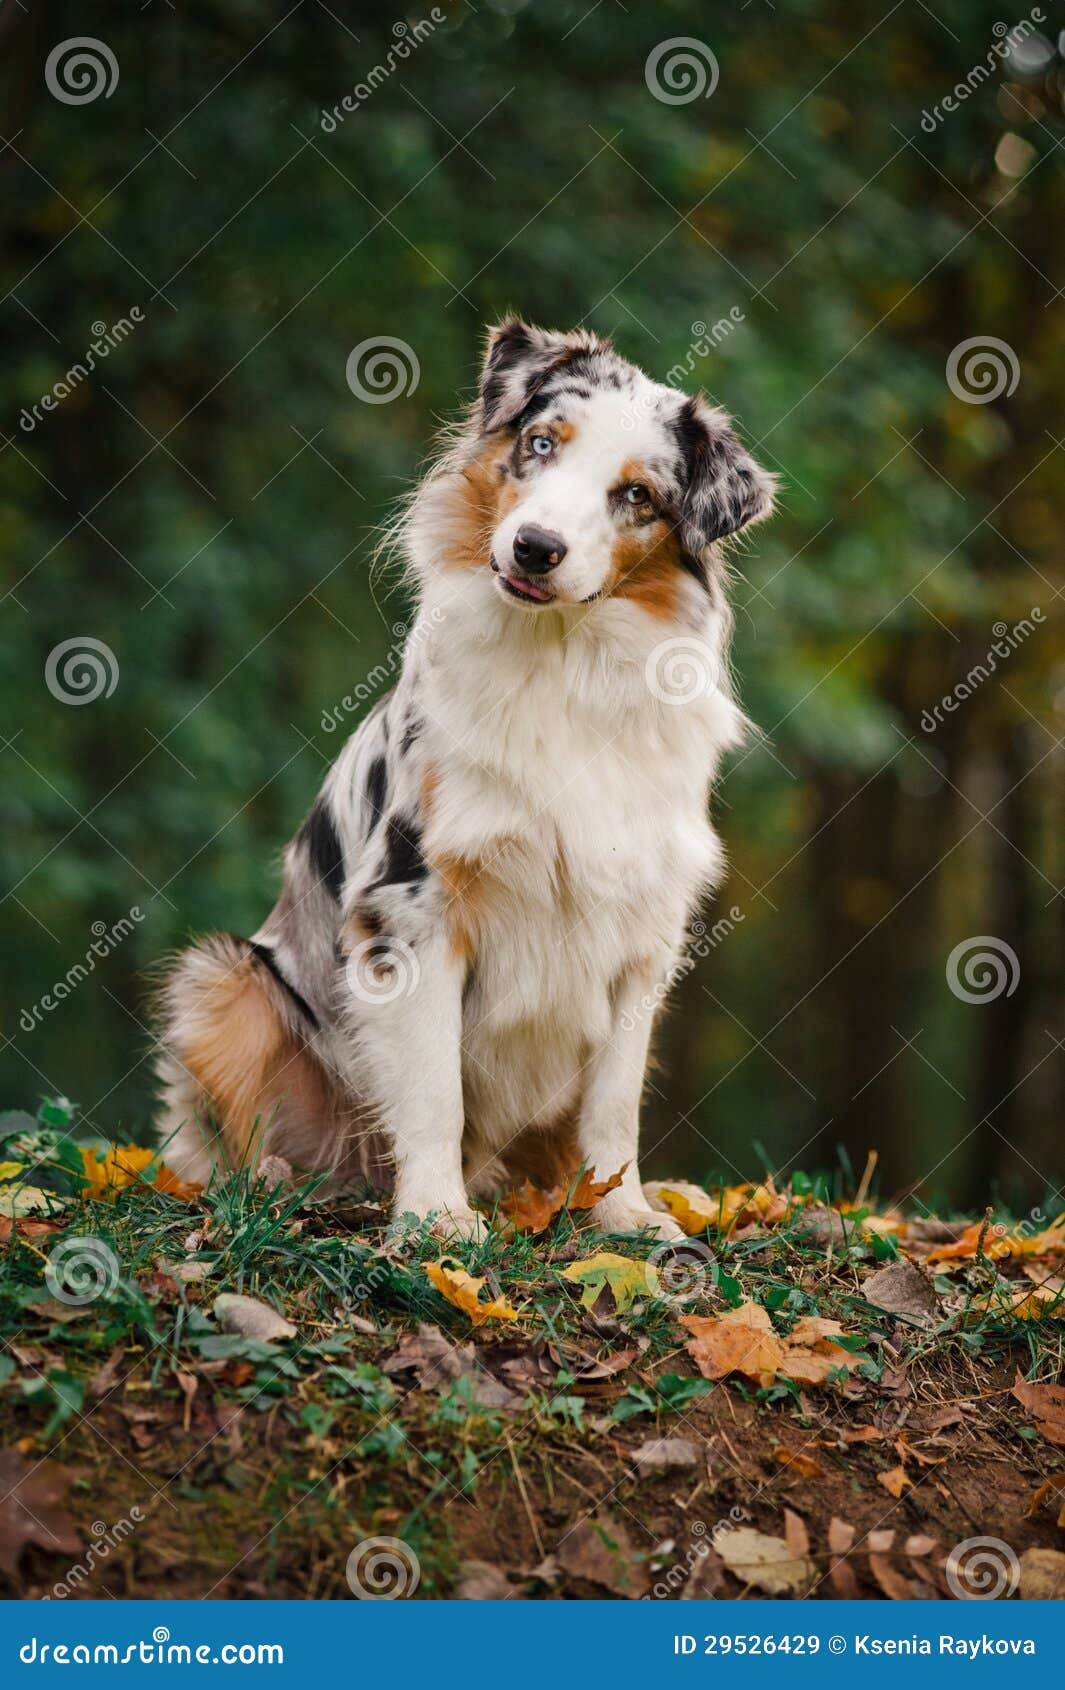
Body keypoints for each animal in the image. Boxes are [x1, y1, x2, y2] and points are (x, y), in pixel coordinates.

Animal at [154, 319, 777, 1243]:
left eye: (636, 495)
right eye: (541, 444)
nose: (535, 547)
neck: (560, 659)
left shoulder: (645, 931)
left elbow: (614, 1101)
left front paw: (623, 1214)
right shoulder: (413, 905)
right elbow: (432, 1086)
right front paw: (435, 1220)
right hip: (224, 979)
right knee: (219, 1141)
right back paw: (276, 1181)